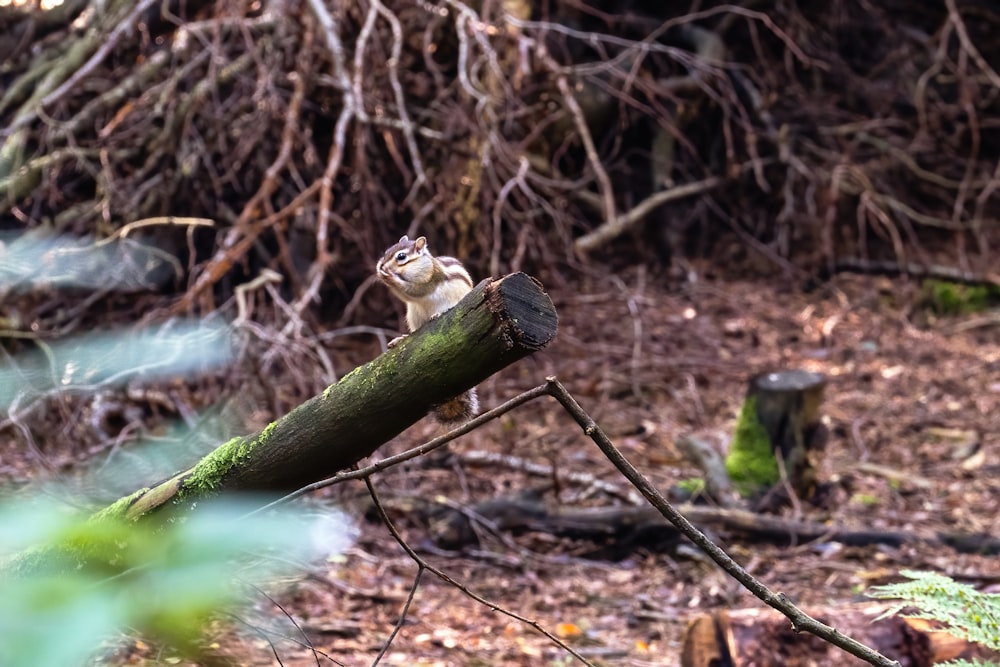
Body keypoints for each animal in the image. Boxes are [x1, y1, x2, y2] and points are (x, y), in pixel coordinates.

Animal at [378, 235, 480, 422]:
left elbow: (416, 290)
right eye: (387, 252)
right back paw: (401, 338)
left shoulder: (429, 278)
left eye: (401, 257)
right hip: (414, 315)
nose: (382, 266)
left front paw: (391, 277)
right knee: (415, 331)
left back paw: (439, 313)